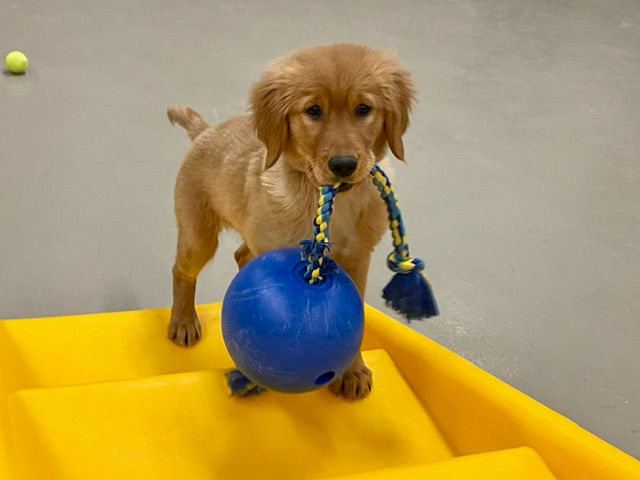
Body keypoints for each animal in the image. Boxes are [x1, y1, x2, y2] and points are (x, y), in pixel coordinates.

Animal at [168, 44, 412, 398]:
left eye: (363, 108)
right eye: (313, 111)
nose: (343, 165)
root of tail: (206, 132)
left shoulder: (358, 257)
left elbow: (358, 317)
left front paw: (353, 371)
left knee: (241, 255)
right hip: (199, 233)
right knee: (182, 271)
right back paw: (183, 321)